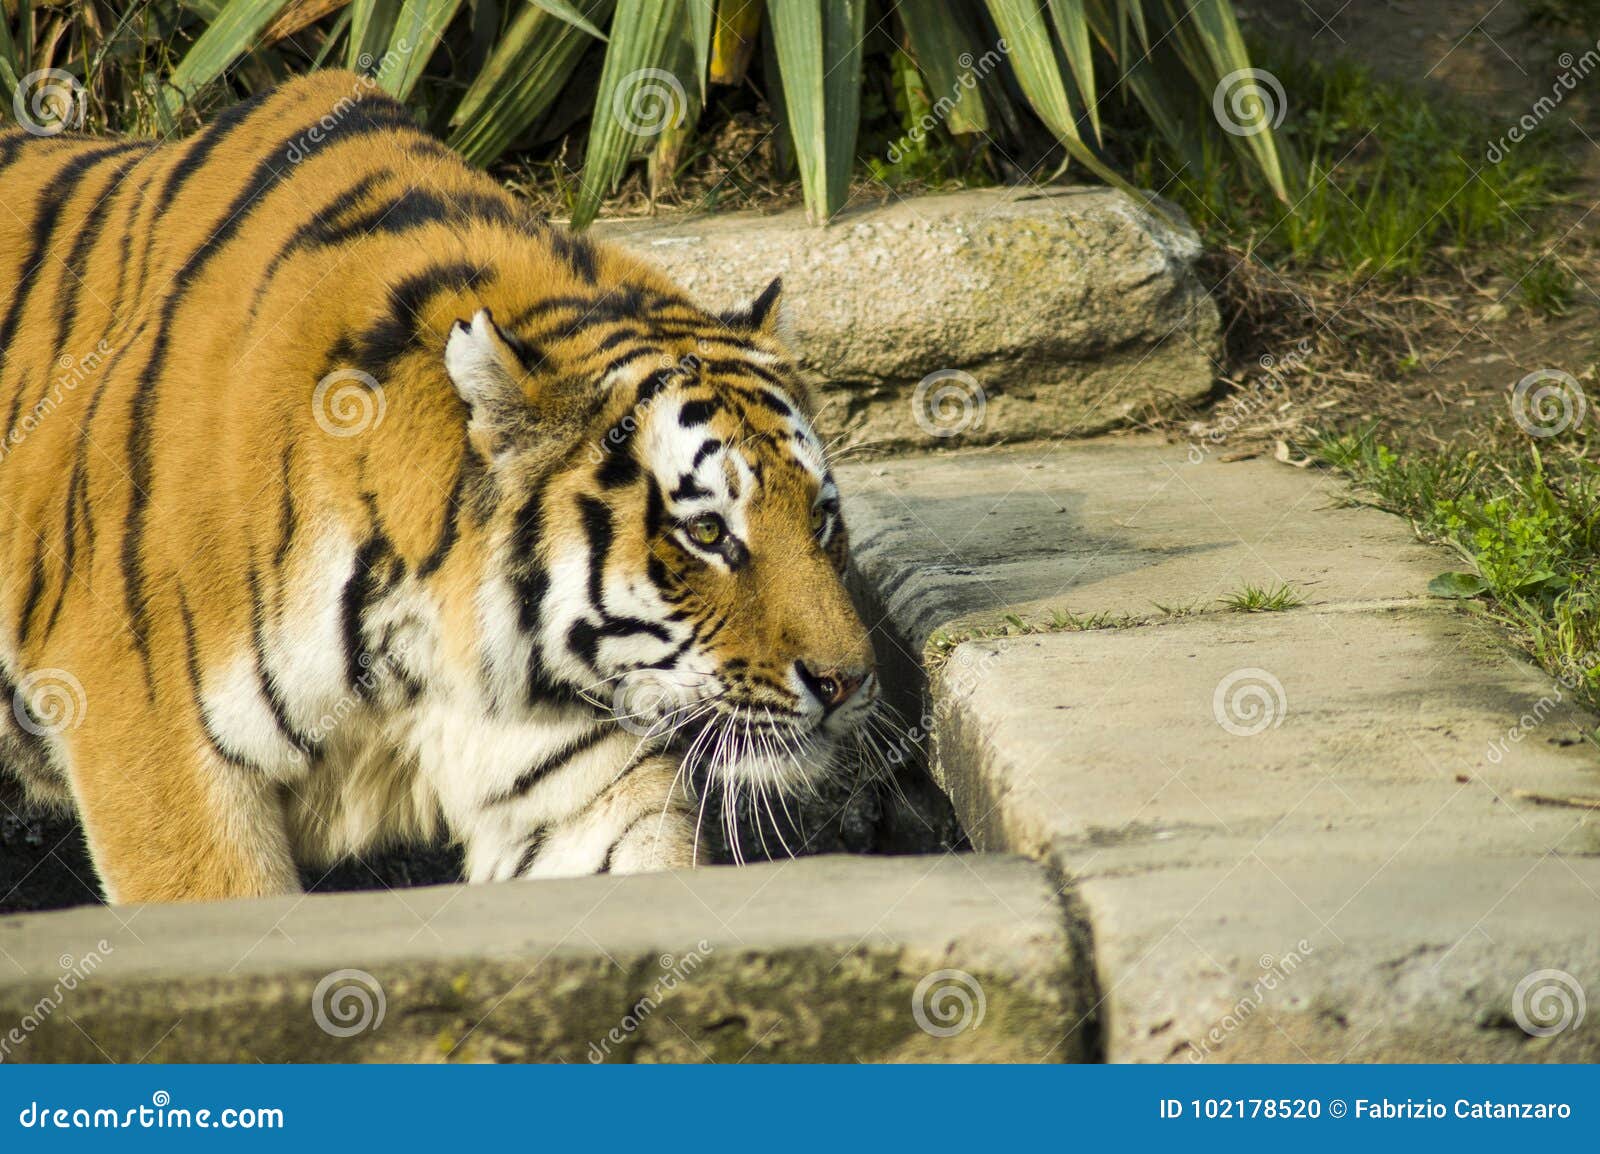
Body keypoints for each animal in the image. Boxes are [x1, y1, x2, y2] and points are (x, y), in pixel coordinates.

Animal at [0, 69, 878, 904]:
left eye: (821, 521)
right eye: (706, 533)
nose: (849, 684)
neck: (425, 640)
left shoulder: (571, 779)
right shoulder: (157, 752)